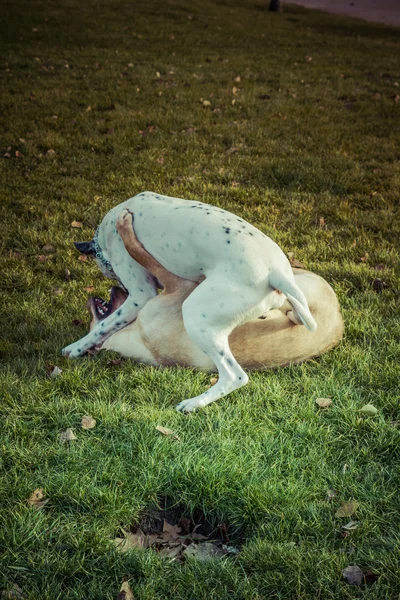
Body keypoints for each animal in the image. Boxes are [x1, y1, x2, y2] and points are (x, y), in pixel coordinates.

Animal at [63, 192, 316, 412]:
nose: (117, 287)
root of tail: (275, 272)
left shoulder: (141, 295)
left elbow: (102, 328)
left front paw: (76, 347)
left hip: (195, 316)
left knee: (234, 376)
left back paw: (194, 403)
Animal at [87, 211, 344, 394]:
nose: (116, 287)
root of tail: (339, 321)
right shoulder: (177, 287)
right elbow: (141, 254)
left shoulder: (177, 286)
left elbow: (141, 254)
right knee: (294, 309)